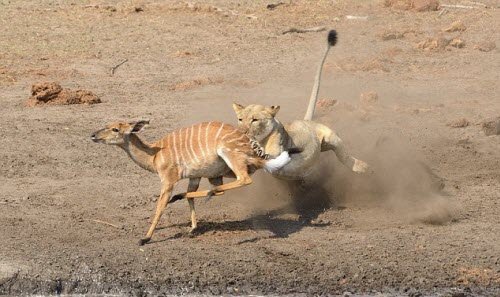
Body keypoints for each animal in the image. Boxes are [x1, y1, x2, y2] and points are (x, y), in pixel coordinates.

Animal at [91, 119, 296, 244]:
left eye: (115, 129)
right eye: (108, 125)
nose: (93, 135)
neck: (155, 155)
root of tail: (255, 150)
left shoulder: (168, 180)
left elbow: (160, 206)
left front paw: (145, 239)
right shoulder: (194, 176)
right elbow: (190, 196)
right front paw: (192, 228)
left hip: (230, 156)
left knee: (244, 179)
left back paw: (208, 194)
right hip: (216, 174)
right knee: (221, 188)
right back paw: (203, 195)